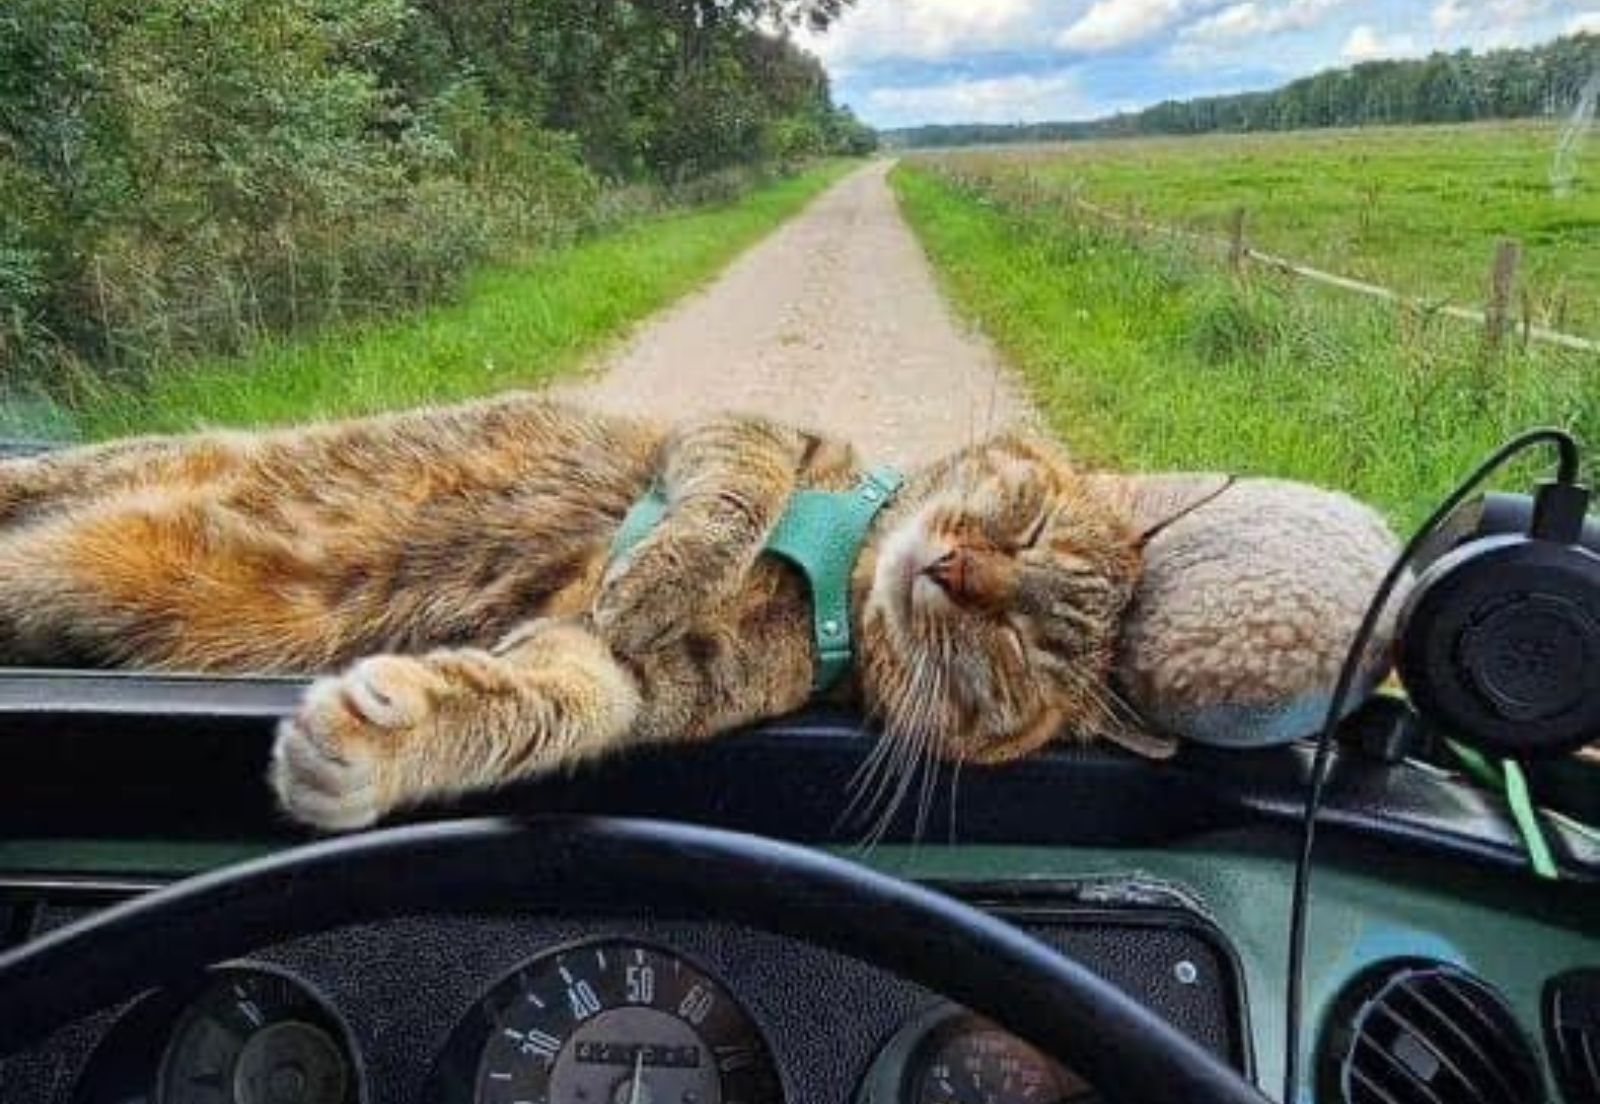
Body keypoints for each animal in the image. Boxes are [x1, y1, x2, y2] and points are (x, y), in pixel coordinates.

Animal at [0, 395, 1177, 825]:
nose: (955, 572)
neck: (838, 572)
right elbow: (730, 498)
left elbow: (536, 701)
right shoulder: (739, 431)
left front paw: (377, 748)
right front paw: (660, 570)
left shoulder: (614, 678)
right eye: (1028, 524)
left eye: (1017, 648)